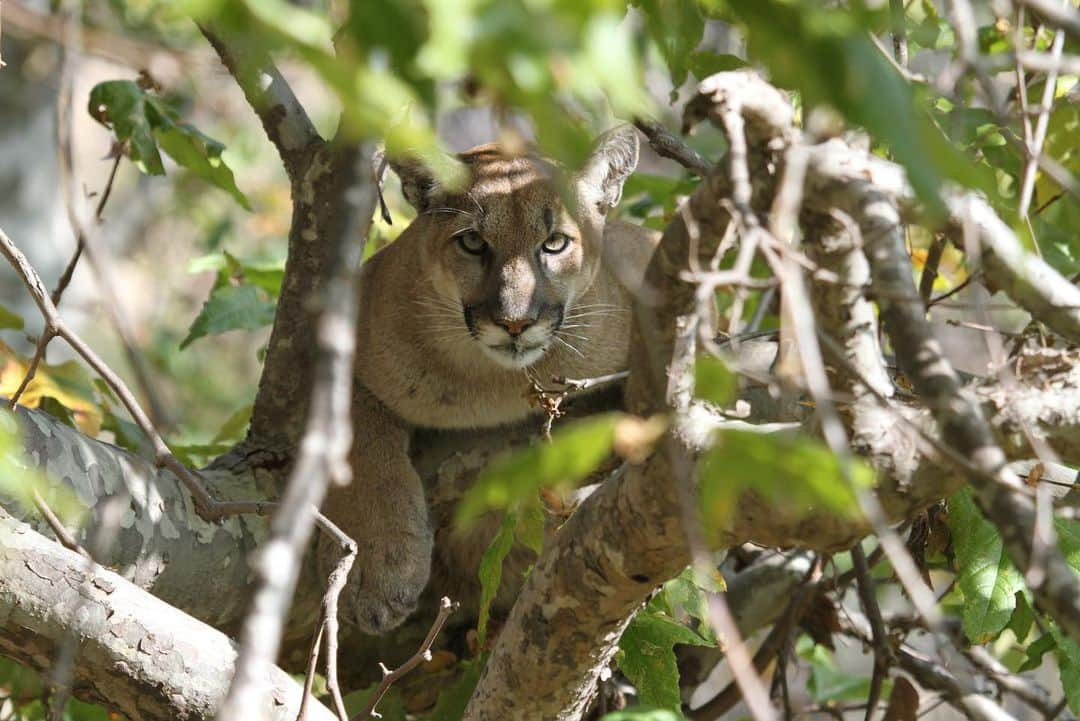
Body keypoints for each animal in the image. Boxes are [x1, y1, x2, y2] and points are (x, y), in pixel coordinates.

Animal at [321, 126, 656, 634]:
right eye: (473, 242)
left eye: (555, 243)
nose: (515, 322)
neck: (493, 383)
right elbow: (366, 454)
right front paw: (380, 572)